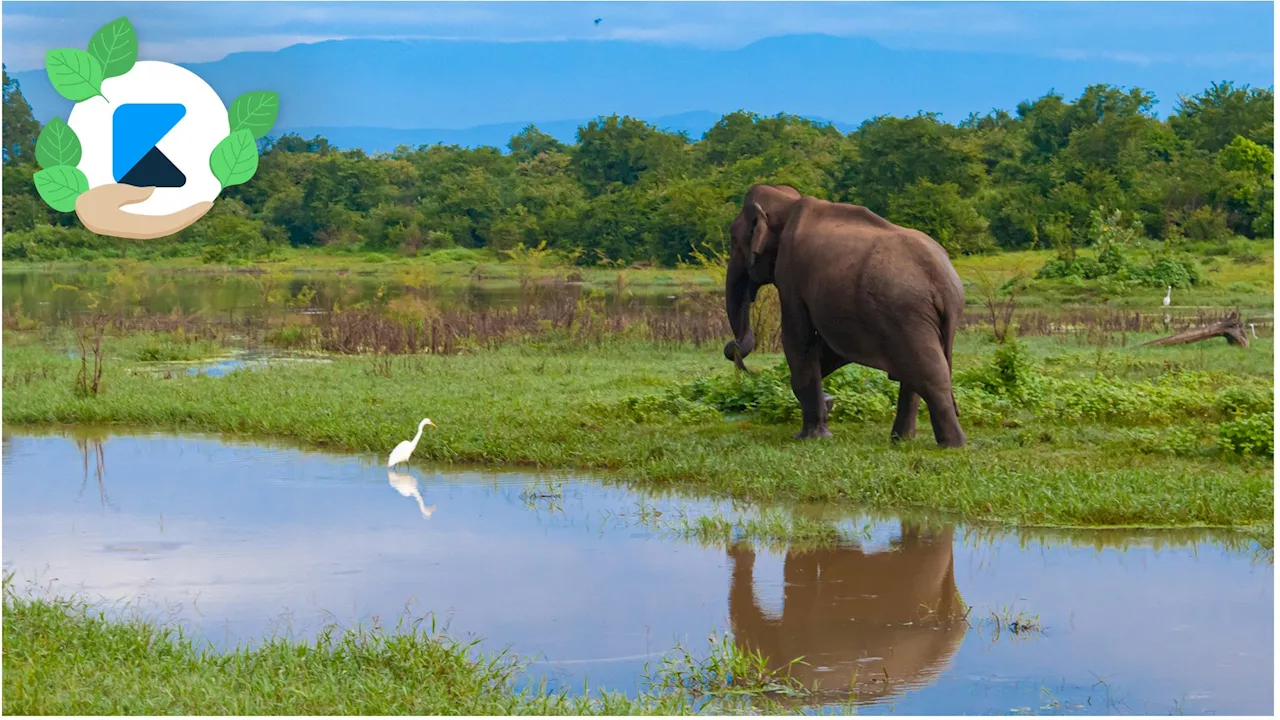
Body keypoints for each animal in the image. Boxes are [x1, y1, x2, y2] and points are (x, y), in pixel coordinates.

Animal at [727, 181, 962, 445]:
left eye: (733, 237)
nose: (734, 347)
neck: (788, 202)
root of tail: (944, 282)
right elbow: (828, 348)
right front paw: (825, 406)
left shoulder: (790, 273)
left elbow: (798, 339)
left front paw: (809, 437)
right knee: (915, 371)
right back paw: (901, 440)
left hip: (907, 314)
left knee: (929, 373)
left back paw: (951, 446)